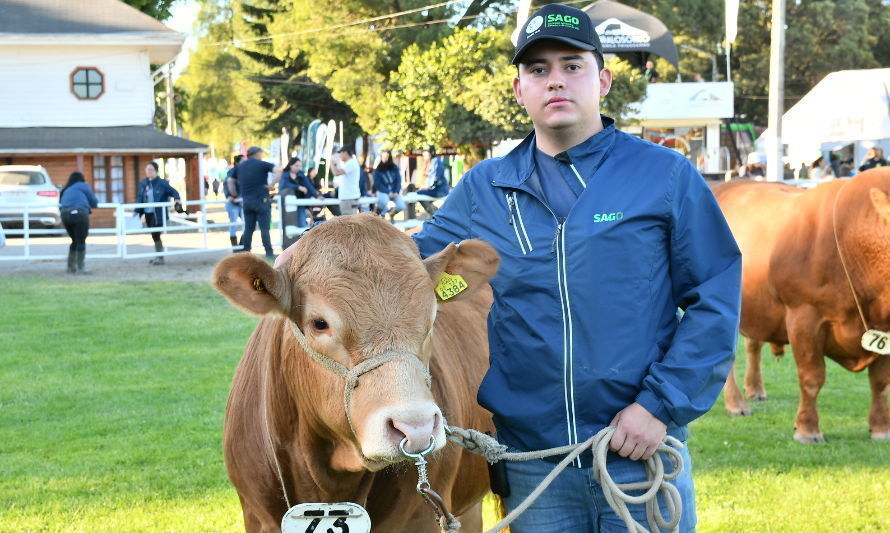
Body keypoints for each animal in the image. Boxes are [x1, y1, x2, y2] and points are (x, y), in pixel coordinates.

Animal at [716, 168, 888, 442]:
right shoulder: (803, 317)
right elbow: (812, 377)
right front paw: (808, 430)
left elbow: (880, 381)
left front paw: (881, 429)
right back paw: (736, 404)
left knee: (753, 344)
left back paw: (755, 390)